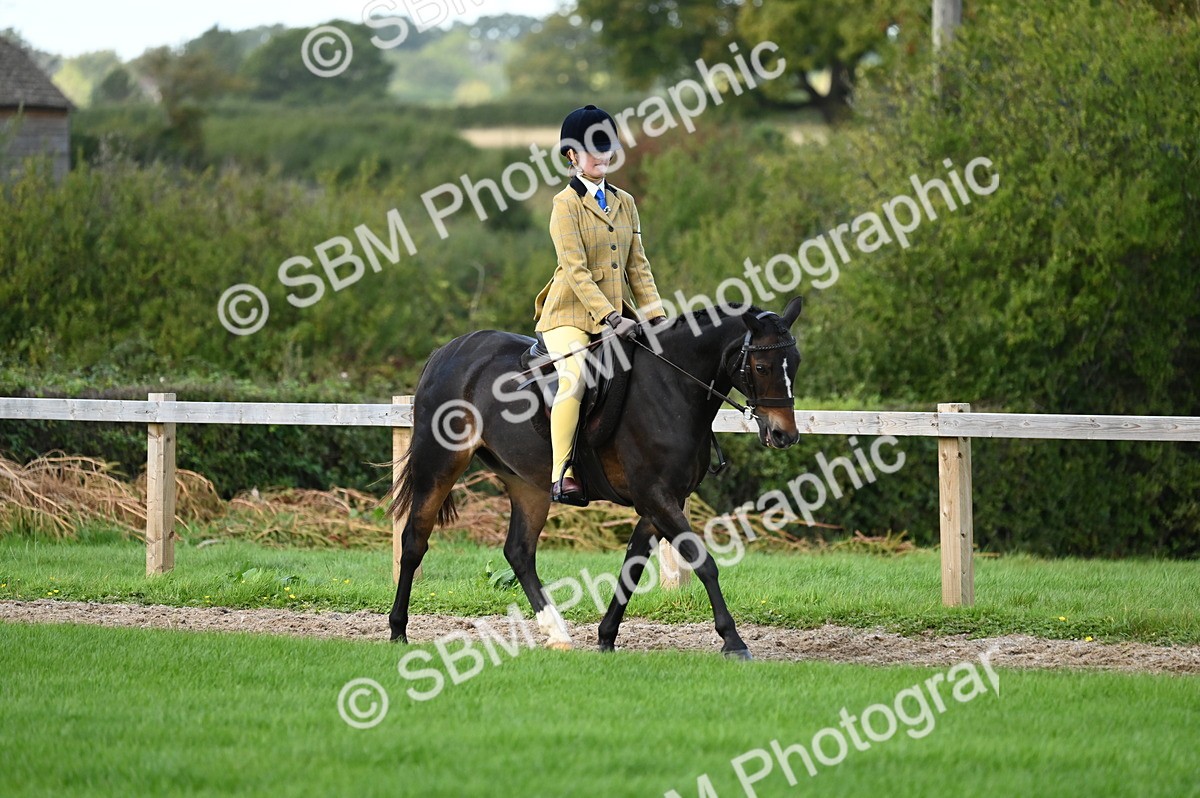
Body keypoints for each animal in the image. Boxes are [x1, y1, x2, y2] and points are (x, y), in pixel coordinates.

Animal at [388, 297, 803, 658]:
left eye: (794, 363)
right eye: (762, 367)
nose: (784, 434)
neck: (671, 385)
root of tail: (448, 351)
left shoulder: (660, 501)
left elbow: (632, 566)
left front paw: (606, 637)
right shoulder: (656, 496)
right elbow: (703, 562)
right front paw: (733, 640)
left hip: (528, 484)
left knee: (519, 551)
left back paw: (557, 633)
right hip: (439, 463)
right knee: (414, 541)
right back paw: (397, 630)